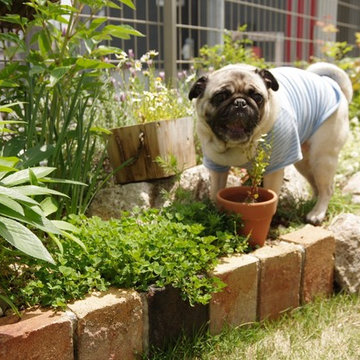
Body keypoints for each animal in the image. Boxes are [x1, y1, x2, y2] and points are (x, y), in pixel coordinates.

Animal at [190, 63, 352, 224]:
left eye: (257, 97)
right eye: (220, 96)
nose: (240, 103)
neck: (239, 145)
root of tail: (332, 84)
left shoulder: (274, 170)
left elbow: (271, 197)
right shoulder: (217, 168)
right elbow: (215, 193)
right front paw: (215, 216)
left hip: (322, 159)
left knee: (327, 188)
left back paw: (317, 213)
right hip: (305, 162)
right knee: (316, 185)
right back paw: (311, 204)